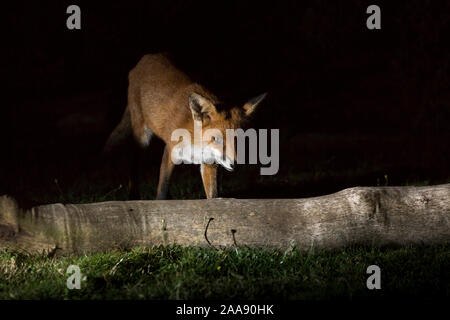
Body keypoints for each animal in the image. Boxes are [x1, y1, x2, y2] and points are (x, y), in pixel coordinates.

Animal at [103, 54, 266, 200]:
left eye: (241, 140)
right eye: (216, 139)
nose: (235, 164)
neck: (197, 143)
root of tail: (145, 58)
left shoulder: (209, 163)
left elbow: (213, 196)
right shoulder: (170, 151)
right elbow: (161, 191)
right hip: (142, 138)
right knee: (134, 166)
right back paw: (133, 196)